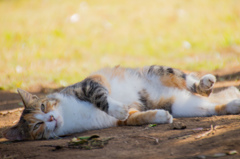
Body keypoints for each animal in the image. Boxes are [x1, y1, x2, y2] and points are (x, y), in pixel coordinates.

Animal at [2, 65, 240, 140]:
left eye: (43, 106)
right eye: (37, 125)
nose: (50, 117)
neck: (69, 115)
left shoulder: (88, 84)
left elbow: (100, 95)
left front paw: (117, 108)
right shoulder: (115, 122)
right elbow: (135, 117)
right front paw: (159, 117)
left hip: (160, 72)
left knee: (190, 82)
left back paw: (206, 83)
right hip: (179, 104)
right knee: (208, 105)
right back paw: (233, 104)